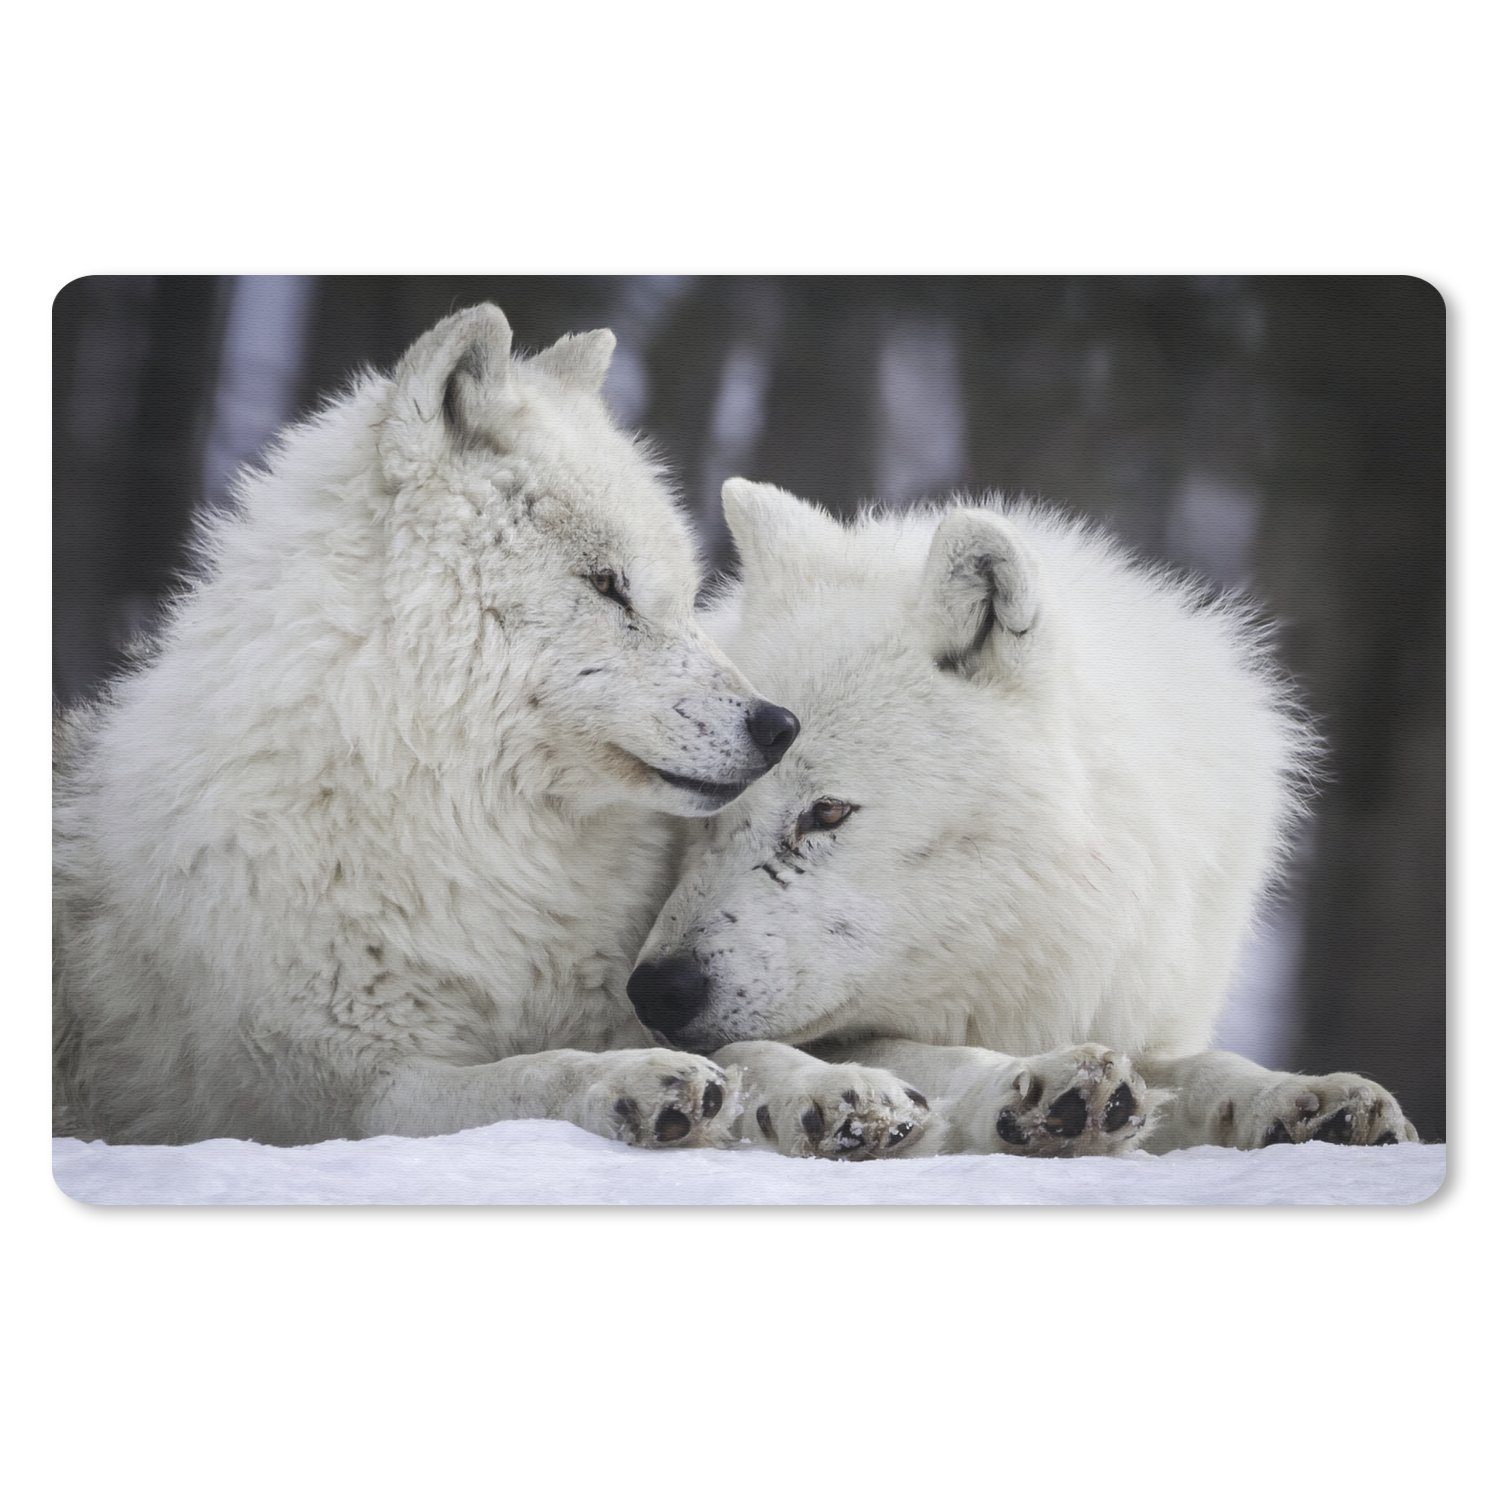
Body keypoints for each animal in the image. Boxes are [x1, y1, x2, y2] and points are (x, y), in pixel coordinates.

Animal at [53, 306, 803, 1148]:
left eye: (682, 594)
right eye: (608, 585)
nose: (780, 726)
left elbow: (752, 1050)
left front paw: (841, 1093)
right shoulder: (347, 1094)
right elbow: (529, 1076)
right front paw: (631, 1082)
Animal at [628, 479, 1420, 1157]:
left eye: (826, 812)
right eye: (705, 814)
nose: (657, 990)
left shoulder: (1136, 1006)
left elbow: (1206, 1068)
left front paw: (1306, 1099)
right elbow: (921, 1057)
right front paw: (1037, 1090)